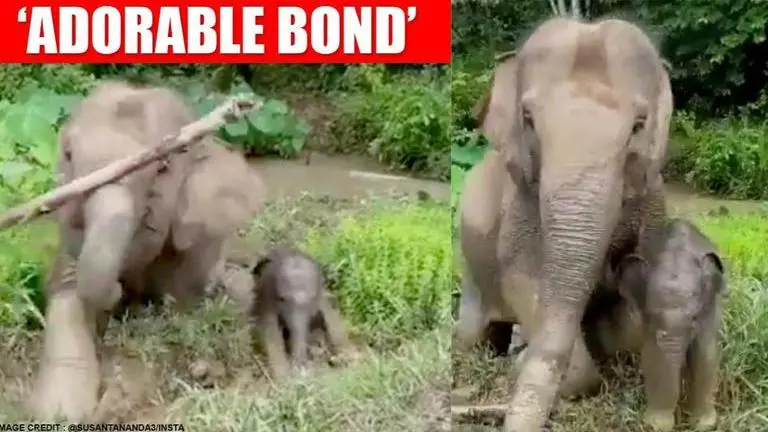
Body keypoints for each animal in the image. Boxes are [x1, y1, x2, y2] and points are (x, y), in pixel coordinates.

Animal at [30, 81, 267, 422]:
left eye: (161, 168)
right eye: (68, 155)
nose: (120, 292)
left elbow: (177, 313)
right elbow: (66, 296)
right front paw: (60, 412)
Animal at [454, 17, 673, 431]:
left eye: (638, 125)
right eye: (528, 119)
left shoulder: (653, 198)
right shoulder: (522, 201)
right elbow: (522, 278)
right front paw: (524, 360)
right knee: (473, 333)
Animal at [607, 218, 725, 431]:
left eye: (694, 317)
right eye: (652, 315)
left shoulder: (710, 303)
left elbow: (704, 353)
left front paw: (704, 425)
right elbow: (653, 354)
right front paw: (657, 425)